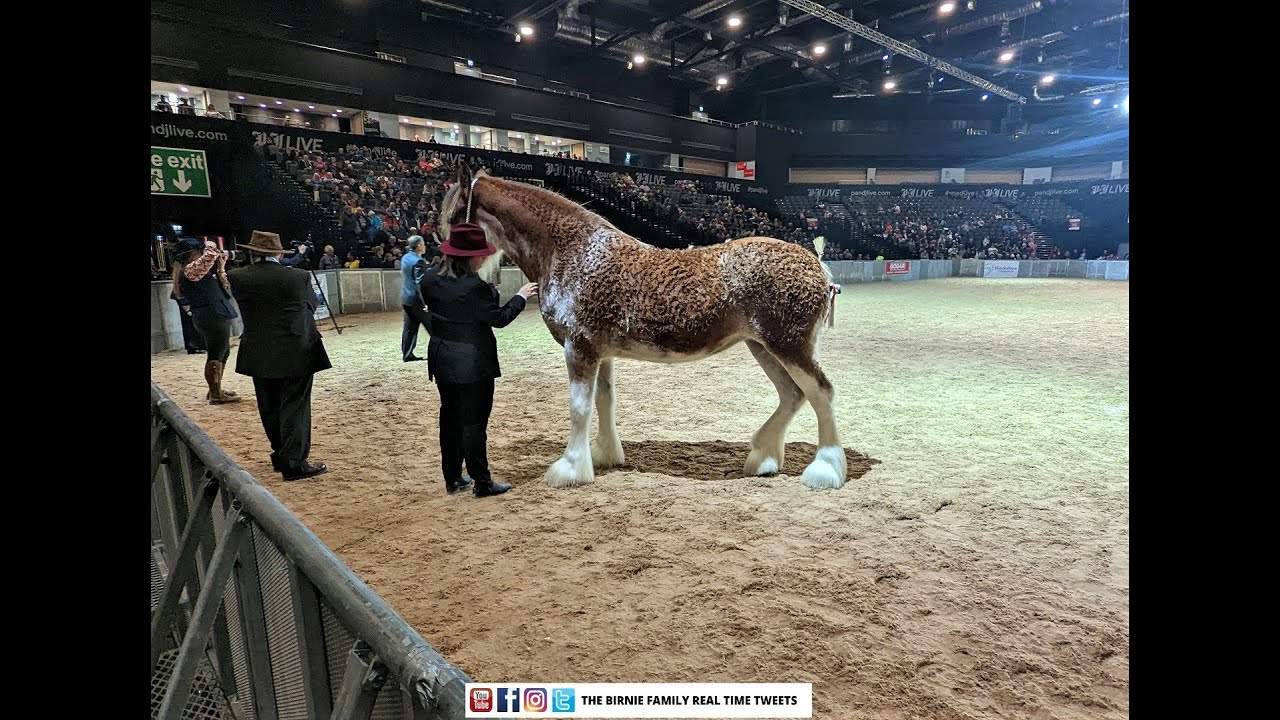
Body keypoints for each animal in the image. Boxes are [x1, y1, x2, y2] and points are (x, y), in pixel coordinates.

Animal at [440, 165, 847, 490]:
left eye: (455, 215)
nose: (448, 268)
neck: (572, 251)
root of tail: (817, 265)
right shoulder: (600, 352)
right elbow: (604, 401)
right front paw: (604, 454)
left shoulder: (579, 347)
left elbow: (578, 408)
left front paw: (569, 469)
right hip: (762, 346)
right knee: (792, 395)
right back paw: (762, 458)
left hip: (788, 346)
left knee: (821, 392)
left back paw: (824, 470)